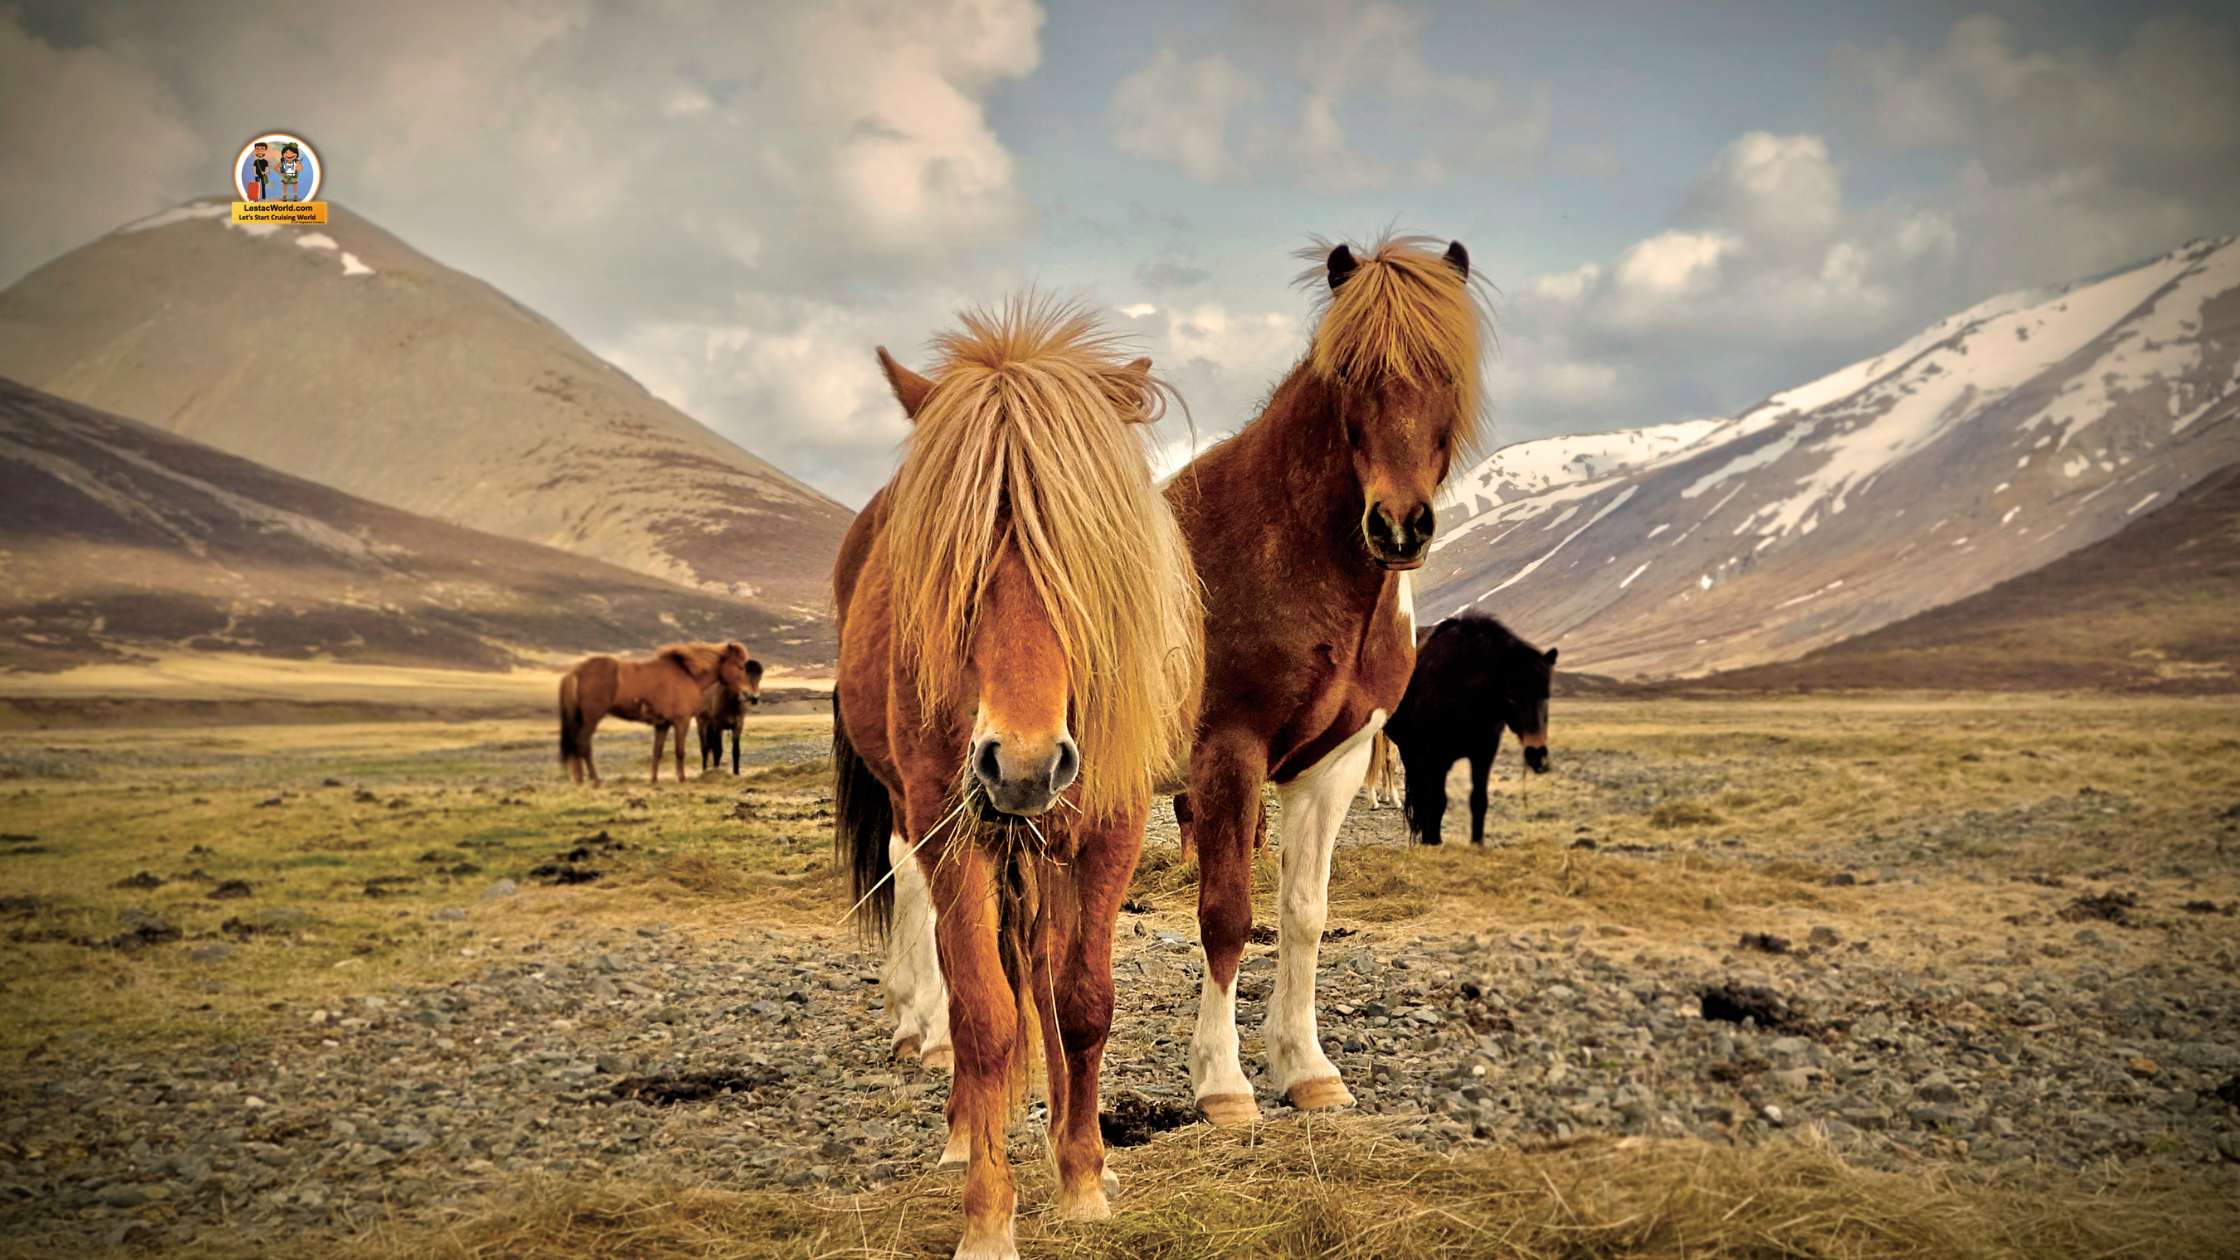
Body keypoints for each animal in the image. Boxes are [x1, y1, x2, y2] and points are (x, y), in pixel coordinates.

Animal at [557, 642, 753, 785]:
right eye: (740, 666)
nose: (749, 695)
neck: (687, 675)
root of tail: (576, 671)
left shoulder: (662, 725)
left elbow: (657, 752)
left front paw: (654, 779)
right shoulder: (681, 722)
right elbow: (679, 751)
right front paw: (682, 779)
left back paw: (580, 779)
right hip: (591, 718)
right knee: (583, 744)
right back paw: (593, 780)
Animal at [831, 299, 1202, 1259]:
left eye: (1086, 557)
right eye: (953, 565)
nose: (1025, 762)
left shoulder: (1109, 825)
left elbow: (1082, 1002)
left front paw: (1084, 1177)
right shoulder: (950, 831)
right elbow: (987, 1017)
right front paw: (988, 1216)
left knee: (1041, 968)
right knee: (980, 991)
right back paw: (970, 1130)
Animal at [1165, 233, 1490, 1125]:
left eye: (1449, 369)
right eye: (1348, 372)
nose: (1399, 526)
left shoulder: (1332, 765)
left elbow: (1303, 914)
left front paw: (1305, 1067)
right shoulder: (1229, 754)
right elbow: (1226, 915)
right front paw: (1222, 1082)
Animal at [1385, 614, 1556, 846]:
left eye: (1546, 696)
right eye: (1512, 697)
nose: (1537, 754)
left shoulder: (1483, 753)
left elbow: (1478, 800)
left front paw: (1477, 844)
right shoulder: (1436, 756)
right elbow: (1437, 800)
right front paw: (1433, 841)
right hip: (1410, 751)